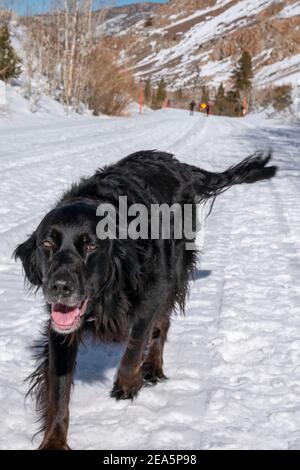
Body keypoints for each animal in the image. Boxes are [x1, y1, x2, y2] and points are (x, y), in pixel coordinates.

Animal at [14, 150, 276, 448]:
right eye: (47, 244)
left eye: (91, 245)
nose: (59, 286)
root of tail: (179, 165)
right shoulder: (61, 324)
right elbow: (59, 391)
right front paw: (54, 441)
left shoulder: (154, 291)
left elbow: (136, 342)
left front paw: (128, 383)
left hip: (175, 269)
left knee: (162, 324)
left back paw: (152, 366)